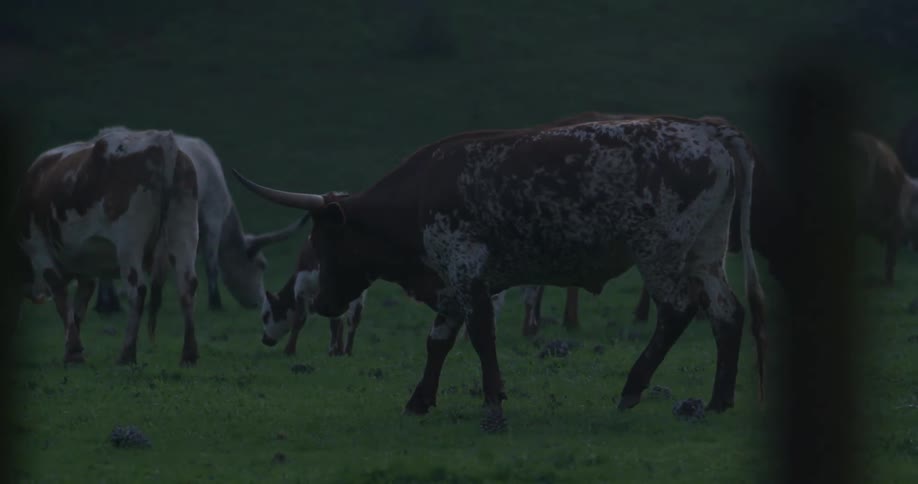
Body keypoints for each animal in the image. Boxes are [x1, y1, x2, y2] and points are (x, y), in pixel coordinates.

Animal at [14, 129, 201, 365]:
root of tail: (161, 140)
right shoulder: (84, 263)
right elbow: (80, 305)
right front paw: (74, 348)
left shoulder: (38, 249)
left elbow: (62, 299)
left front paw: (73, 351)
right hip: (184, 230)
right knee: (187, 285)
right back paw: (189, 353)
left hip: (129, 243)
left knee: (138, 290)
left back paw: (127, 354)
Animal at [91, 127, 307, 326]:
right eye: (262, 265)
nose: (259, 302)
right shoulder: (211, 219)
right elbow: (211, 263)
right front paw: (215, 302)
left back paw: (107, 305)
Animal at [232, 115, 767, 432]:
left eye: (327, 241)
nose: (323, 303)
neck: (417, 196)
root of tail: (705, 130)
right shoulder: (449, 281)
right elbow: (438, 341)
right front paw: (420, 400)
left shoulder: (466, 268)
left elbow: (480, 335)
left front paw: (492, 402)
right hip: (705, 252)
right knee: (727, 313)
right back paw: (718, 400)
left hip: (658, 253)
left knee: (677, 311)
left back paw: (633, 388)